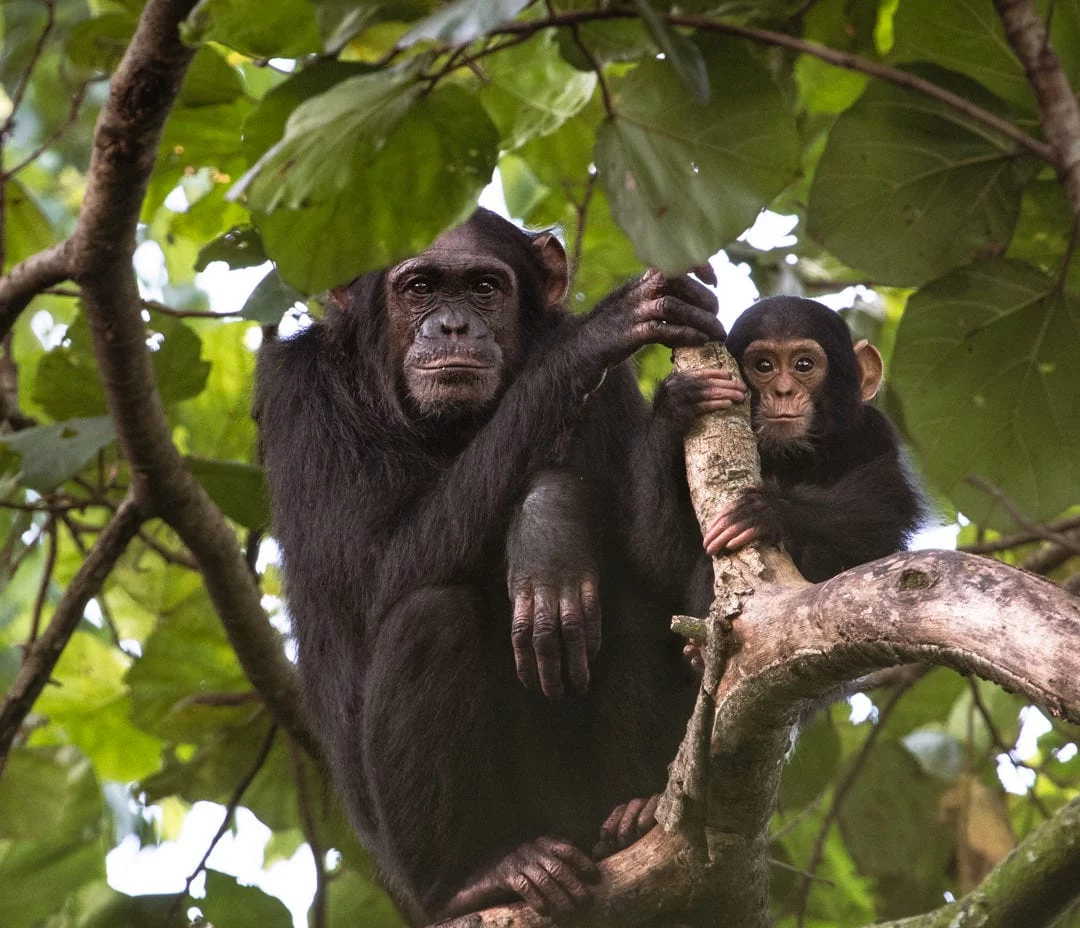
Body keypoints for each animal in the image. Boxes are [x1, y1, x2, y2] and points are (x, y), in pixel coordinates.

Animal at [253, 206, 725, 924]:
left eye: (483, 288)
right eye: (419, 287)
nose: (452, 326)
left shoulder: (613, 396)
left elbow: (664, 561)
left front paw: (549, 524)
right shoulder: (300, 400)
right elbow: (370, 574)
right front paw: (594, 338)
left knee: (627, 595)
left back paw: (638, 814)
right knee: (431, 615)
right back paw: (479, 875)